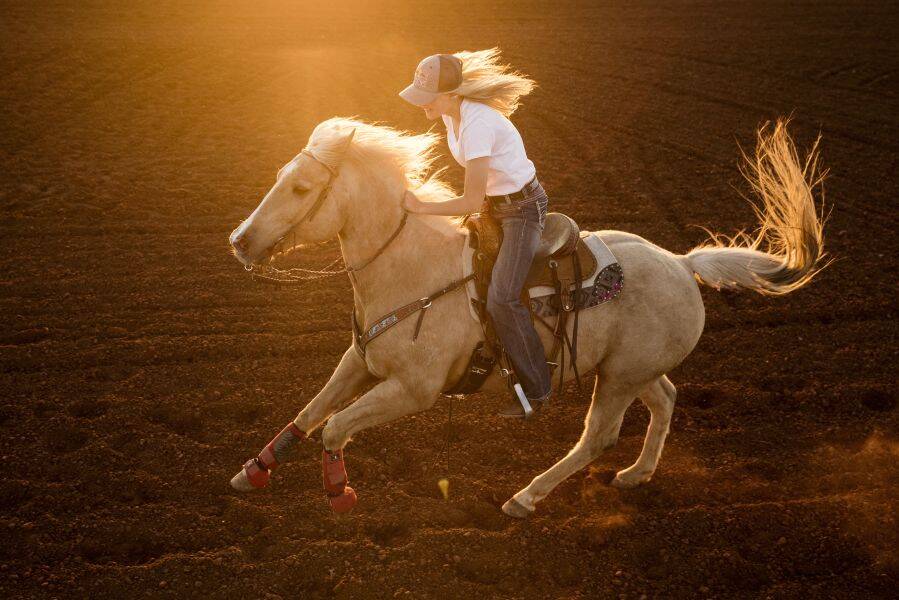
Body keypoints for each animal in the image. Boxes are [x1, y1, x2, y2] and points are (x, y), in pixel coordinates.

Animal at [229, 116, 828, 516]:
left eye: (301, 187)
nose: (240, 240)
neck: (414, 269)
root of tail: (682, 264)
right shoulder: (360, 360)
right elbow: (310, 412)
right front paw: (251, 471)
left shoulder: (413, 389)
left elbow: (334, 427)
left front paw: (338, 491)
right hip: (631, 369)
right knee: (665, 398)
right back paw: (638, 474)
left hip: (617, 379)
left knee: (598, 436)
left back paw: (525, 496)